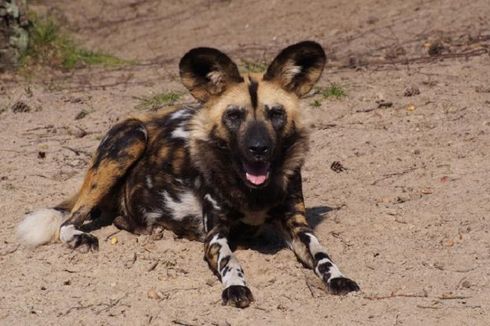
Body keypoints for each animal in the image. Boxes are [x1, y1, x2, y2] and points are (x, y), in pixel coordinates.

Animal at [17, 41, 360, 308]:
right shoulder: (215, 234)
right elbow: (231, 262)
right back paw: (83, 236)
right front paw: (236, 287)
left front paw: (338, 277)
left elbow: (322, 254)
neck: (251, 190)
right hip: (131, 139)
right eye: (234, 116)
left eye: (276, 114)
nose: (258, 148)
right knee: (68, 221)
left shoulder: (297, 225)